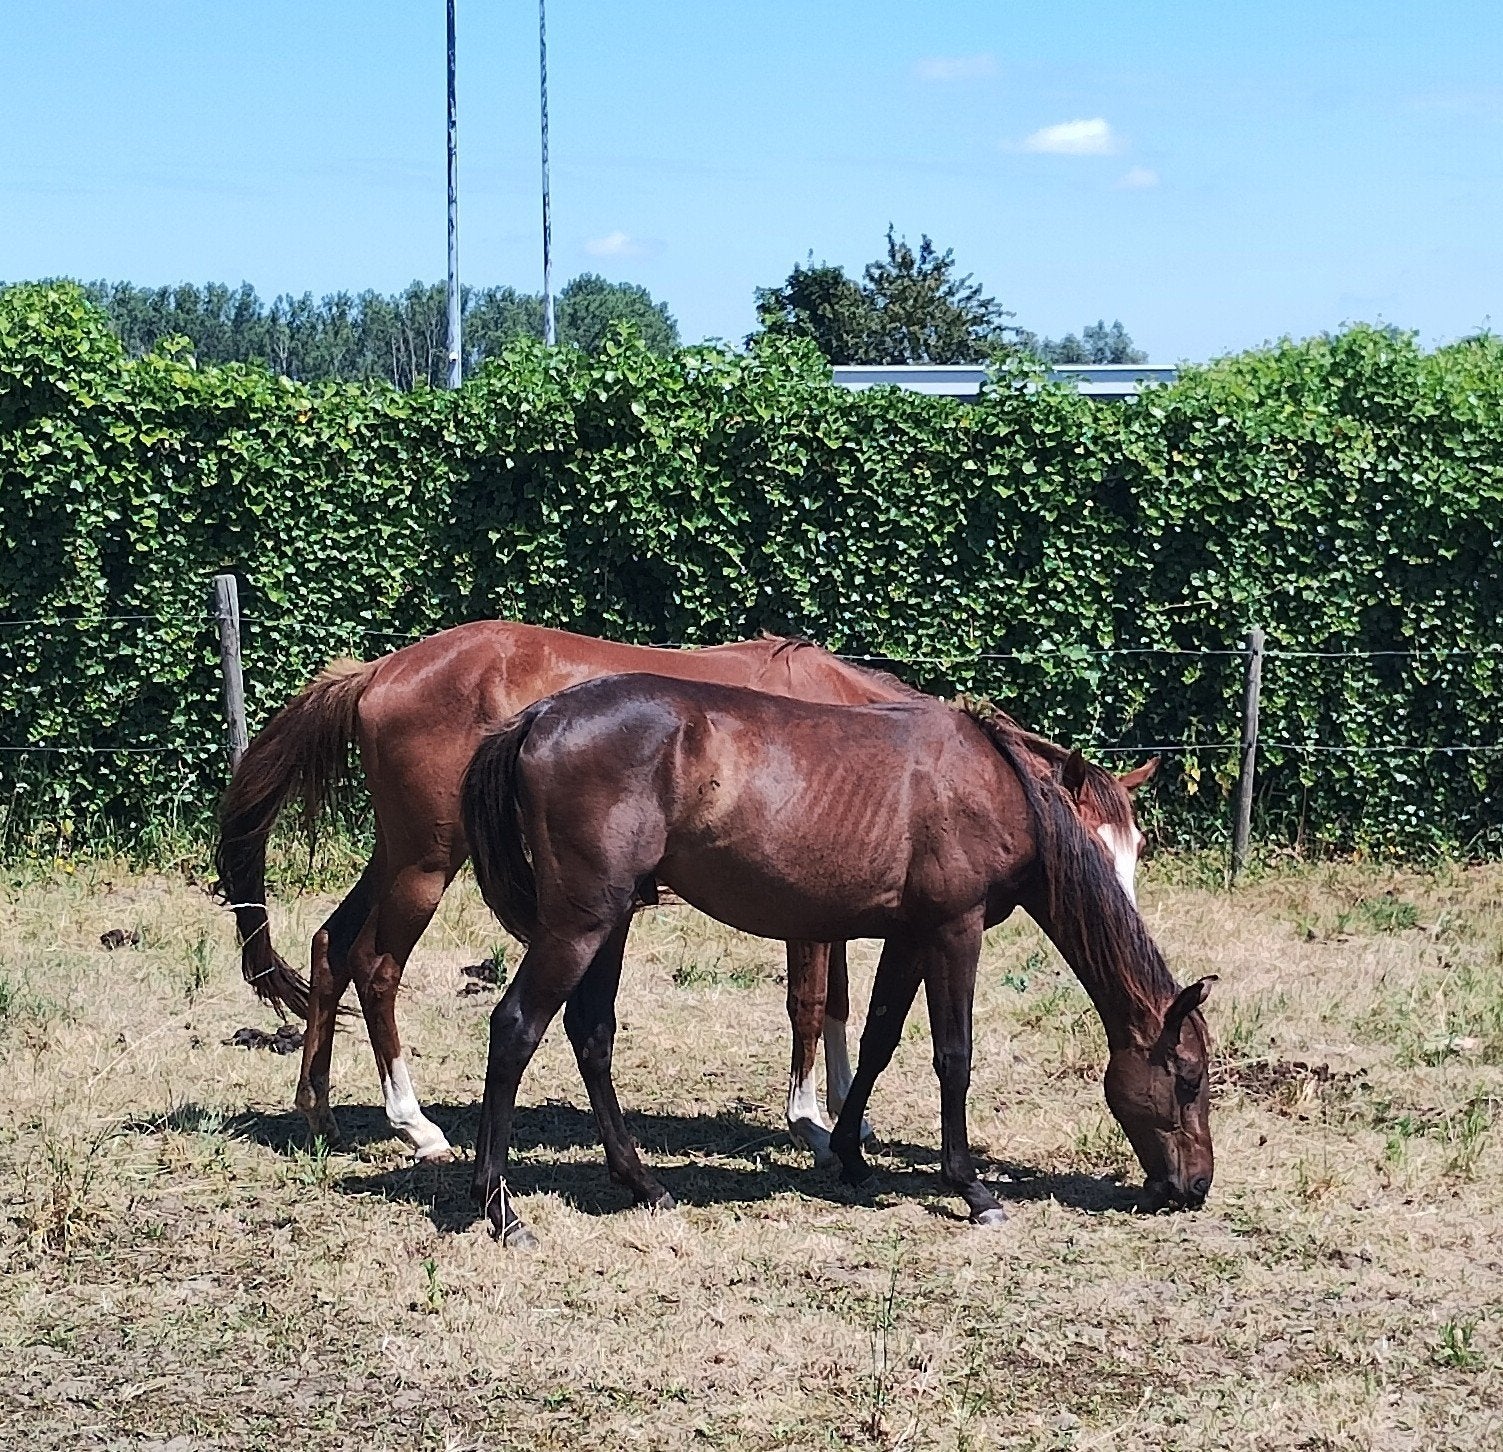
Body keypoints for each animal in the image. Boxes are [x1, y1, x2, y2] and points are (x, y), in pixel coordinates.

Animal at [215, 621, 1156, 1164]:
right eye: (1088, 853)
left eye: (1133, 857)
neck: (855, 728)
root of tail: (379, 669)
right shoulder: (806, 911)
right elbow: (810, 1002)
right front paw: (811, 1121)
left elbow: (842, 1002)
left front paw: (848, 1118)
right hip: (425, 863)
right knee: (377, 966)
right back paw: (413, 1124)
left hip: (402, 852)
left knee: (331, 945)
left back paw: (318, 1113)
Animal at [460, 674, 1213, 1246]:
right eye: (1187, 1080)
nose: (1195, 1186)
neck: (998, 788)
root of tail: (539, 716)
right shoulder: (955, 930)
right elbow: (954, 1055)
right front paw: (971, 1187)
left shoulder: (909, 935)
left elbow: (879, 1038)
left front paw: (849, 1154)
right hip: (579, 925)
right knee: (516, 1028)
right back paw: (501, 1212)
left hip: (609, 923)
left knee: (592, 1037)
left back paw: (643, 1184)